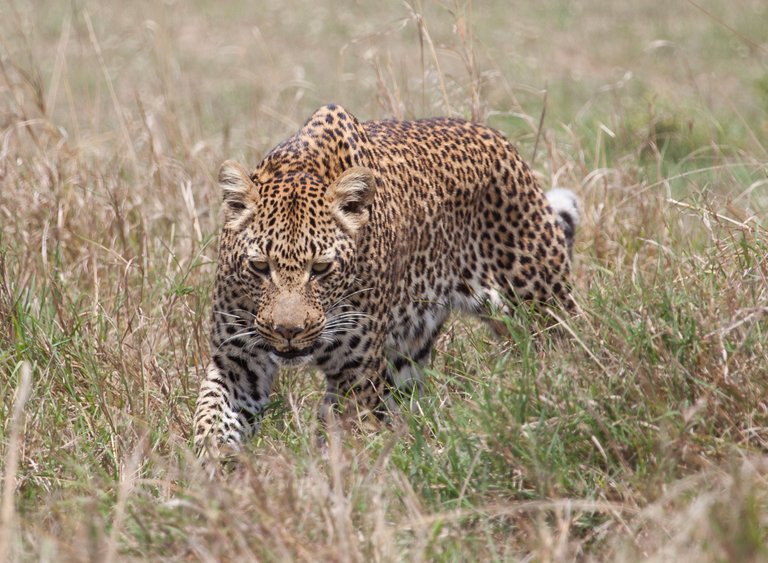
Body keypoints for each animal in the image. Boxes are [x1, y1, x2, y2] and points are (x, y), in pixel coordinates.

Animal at [192, 104, 576, 458]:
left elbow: (343, 438)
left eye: (321, 269)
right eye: (259, 267)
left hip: (538, 303)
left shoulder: (355, 373)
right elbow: (211, 417)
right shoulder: (237, 360)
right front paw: (213, 469)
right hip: (406, 356)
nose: (288, 331)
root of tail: (496, 138)